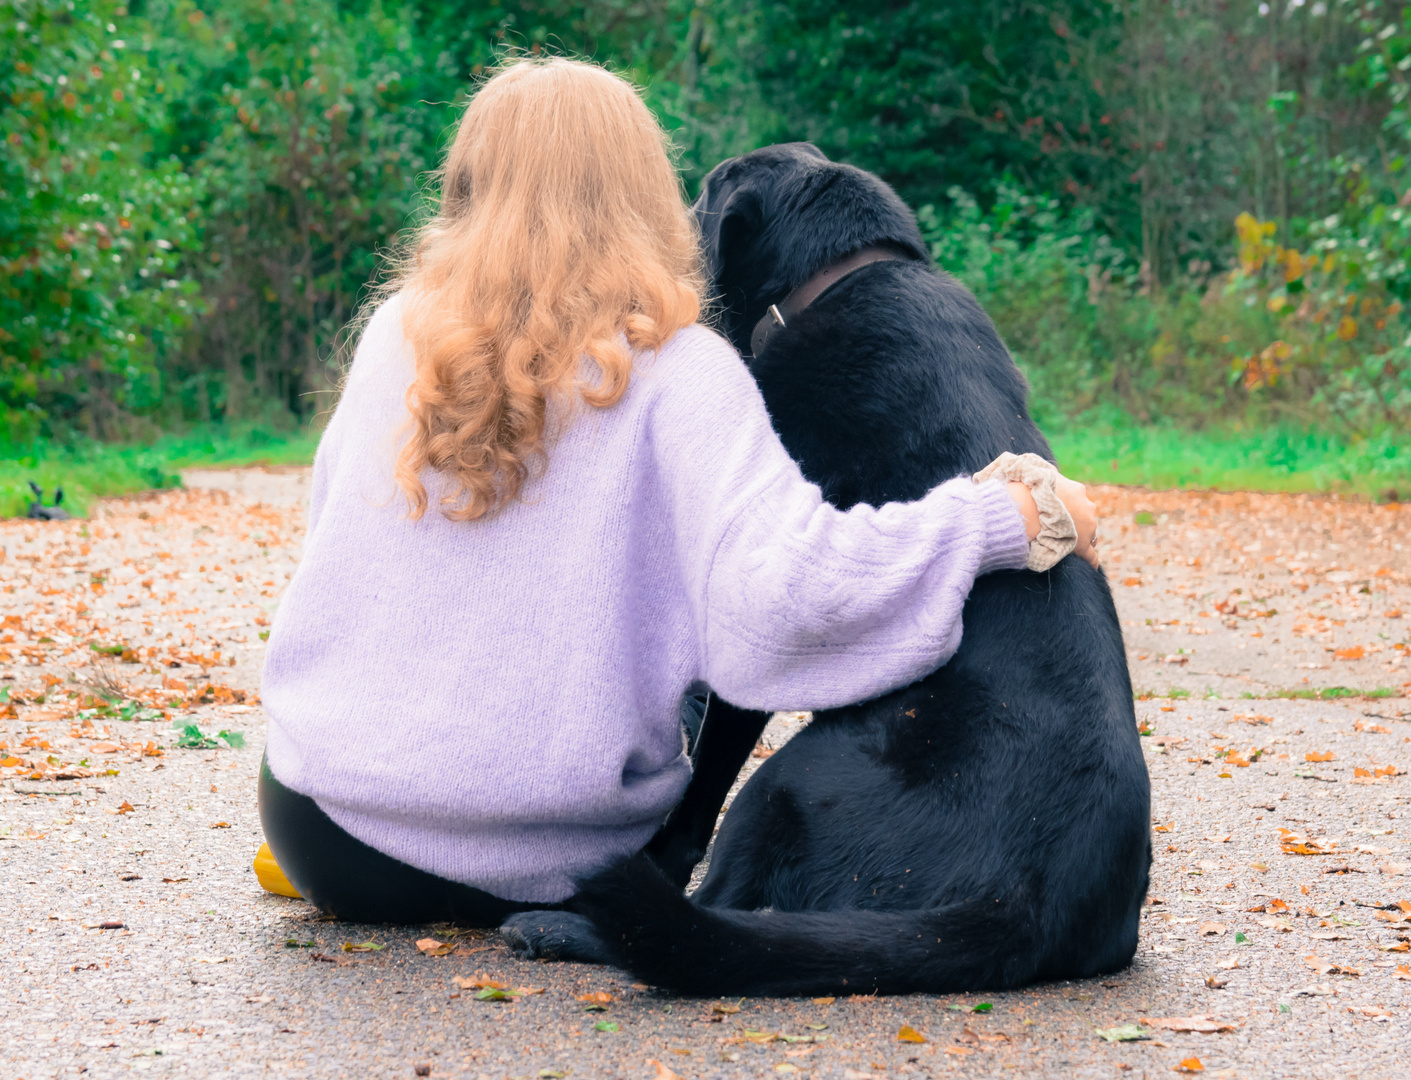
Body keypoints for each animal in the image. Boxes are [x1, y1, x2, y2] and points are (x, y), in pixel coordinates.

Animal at [502, 143, 1151, 993]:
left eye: (701, 194)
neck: (842, 276)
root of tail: (1025, 903)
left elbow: (697, 792)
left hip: (789, 781)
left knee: (713, 927)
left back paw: (562, 925)